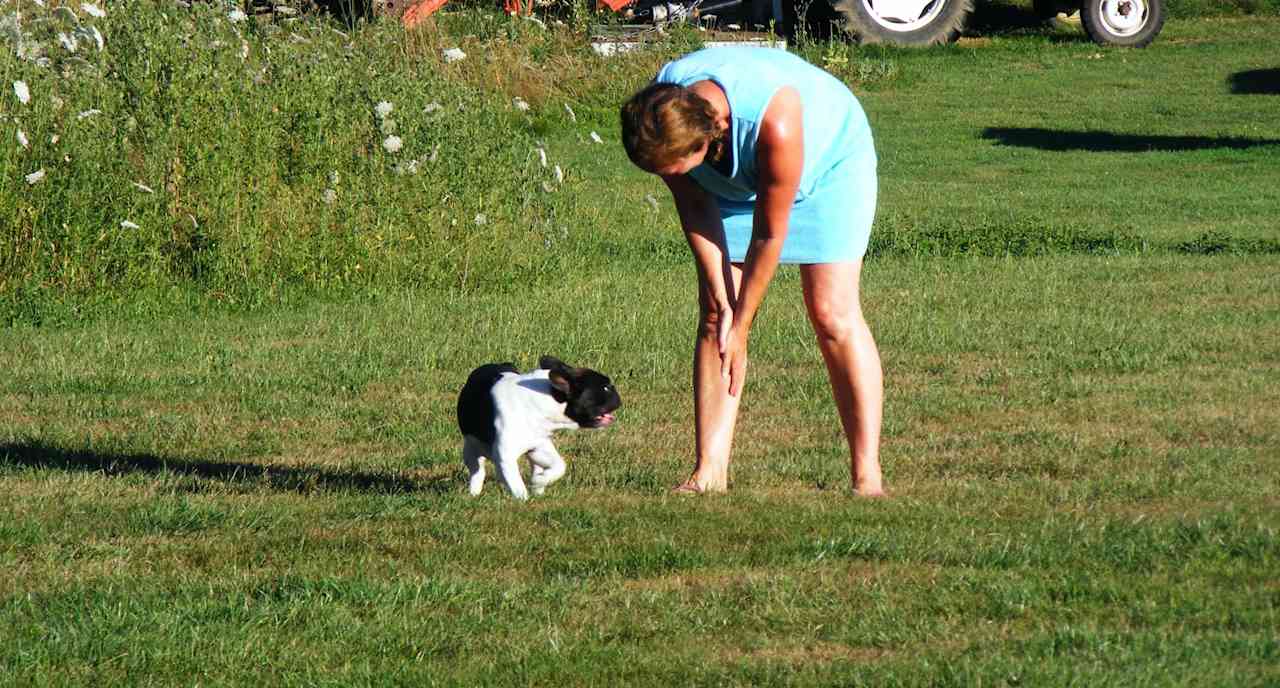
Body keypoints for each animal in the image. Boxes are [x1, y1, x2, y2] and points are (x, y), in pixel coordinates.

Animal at [458, 355, 622, 496]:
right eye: (605, 388)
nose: (617, 395)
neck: (548, 397)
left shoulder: (539, 447)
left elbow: (560, 466)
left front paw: (539, 481)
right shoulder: (505, 456)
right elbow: (517, 486)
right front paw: (523, 501)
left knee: (536, 466)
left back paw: (539, 489)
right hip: (471, 448)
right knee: (477, 470)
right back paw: (474, 493)